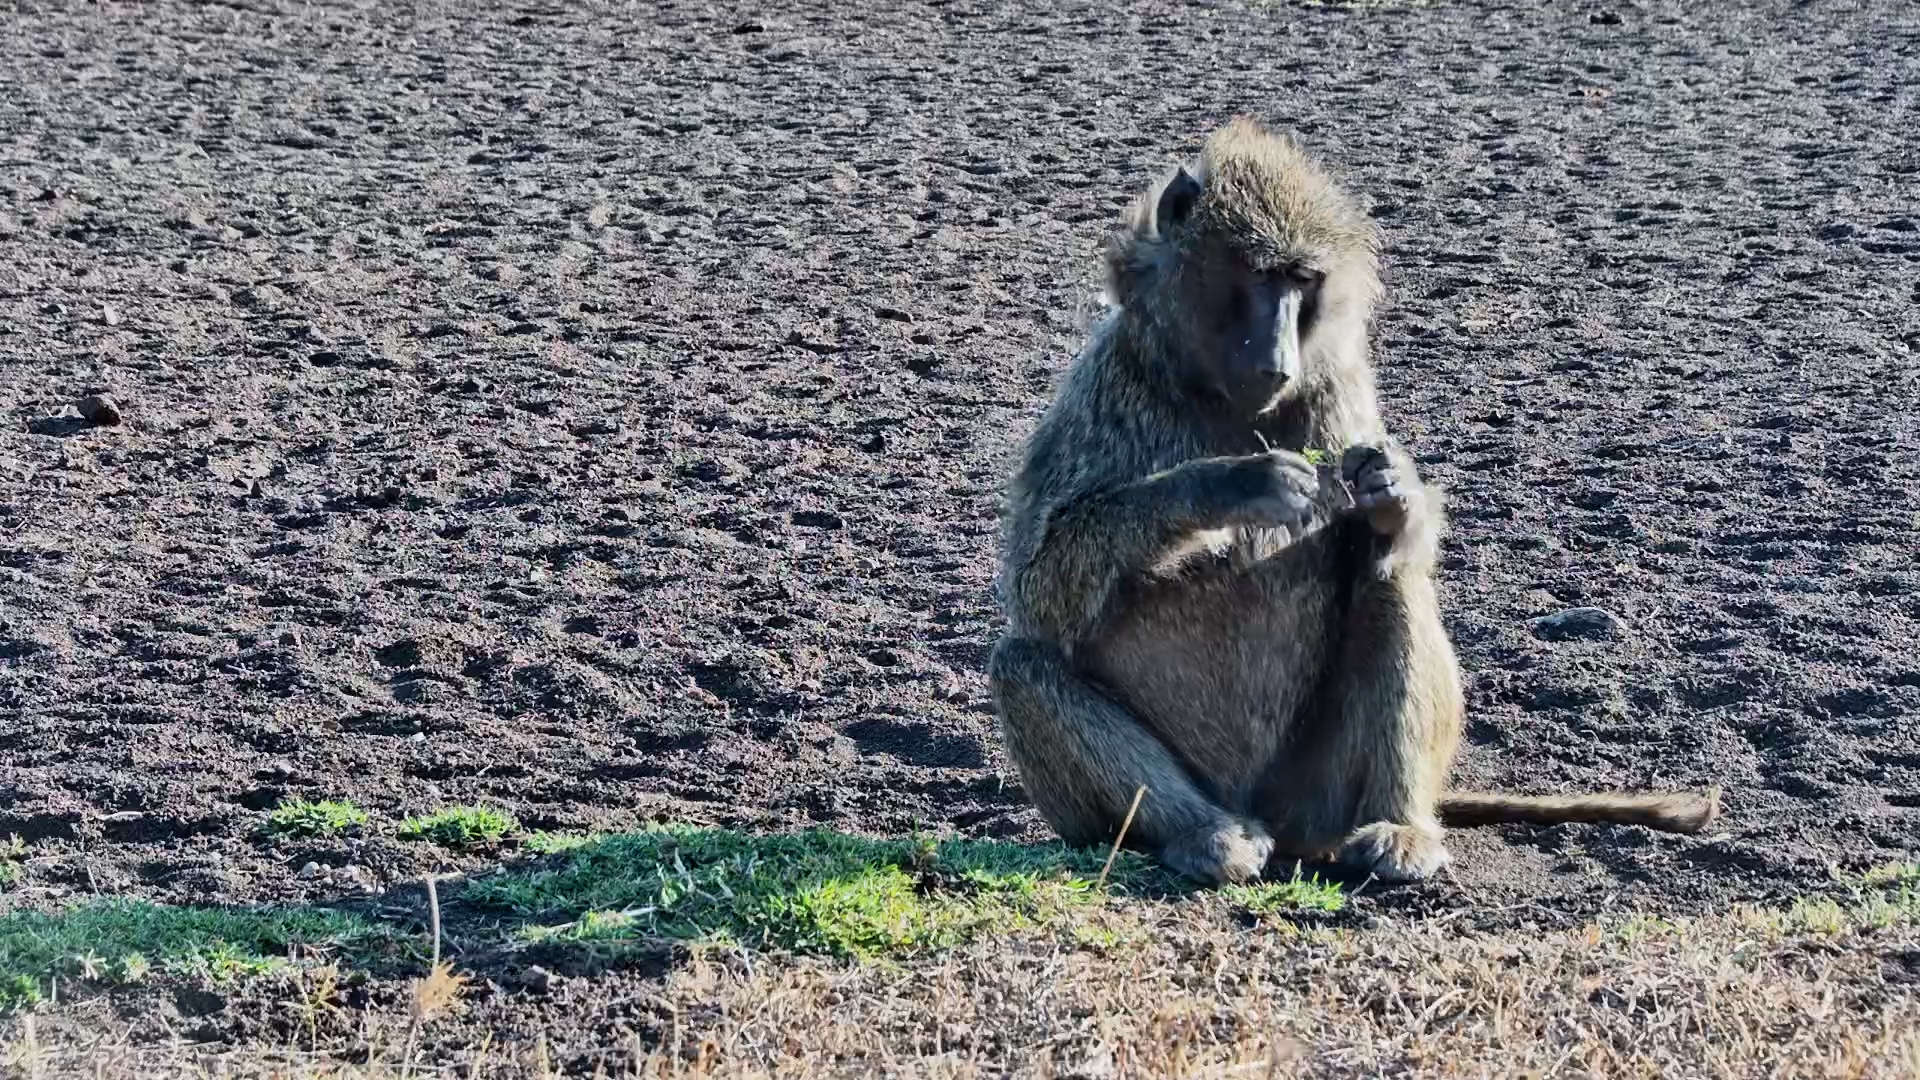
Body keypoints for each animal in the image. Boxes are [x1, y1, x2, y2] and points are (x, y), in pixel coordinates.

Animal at [986, 117, 1720, 885]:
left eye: (1302, 282)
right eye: (1258, 276)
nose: (1277, 361)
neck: (1213, 394)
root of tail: (1272, 817)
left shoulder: (1338, 389)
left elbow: (1383, 536)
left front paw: (1390, 489)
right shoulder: (1106, 384)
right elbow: (1040, 585)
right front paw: (1233, 483)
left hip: (1320, 793)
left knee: (1390, 576)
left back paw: (1401, 827)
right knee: (1023, 663)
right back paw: (1205, 833)